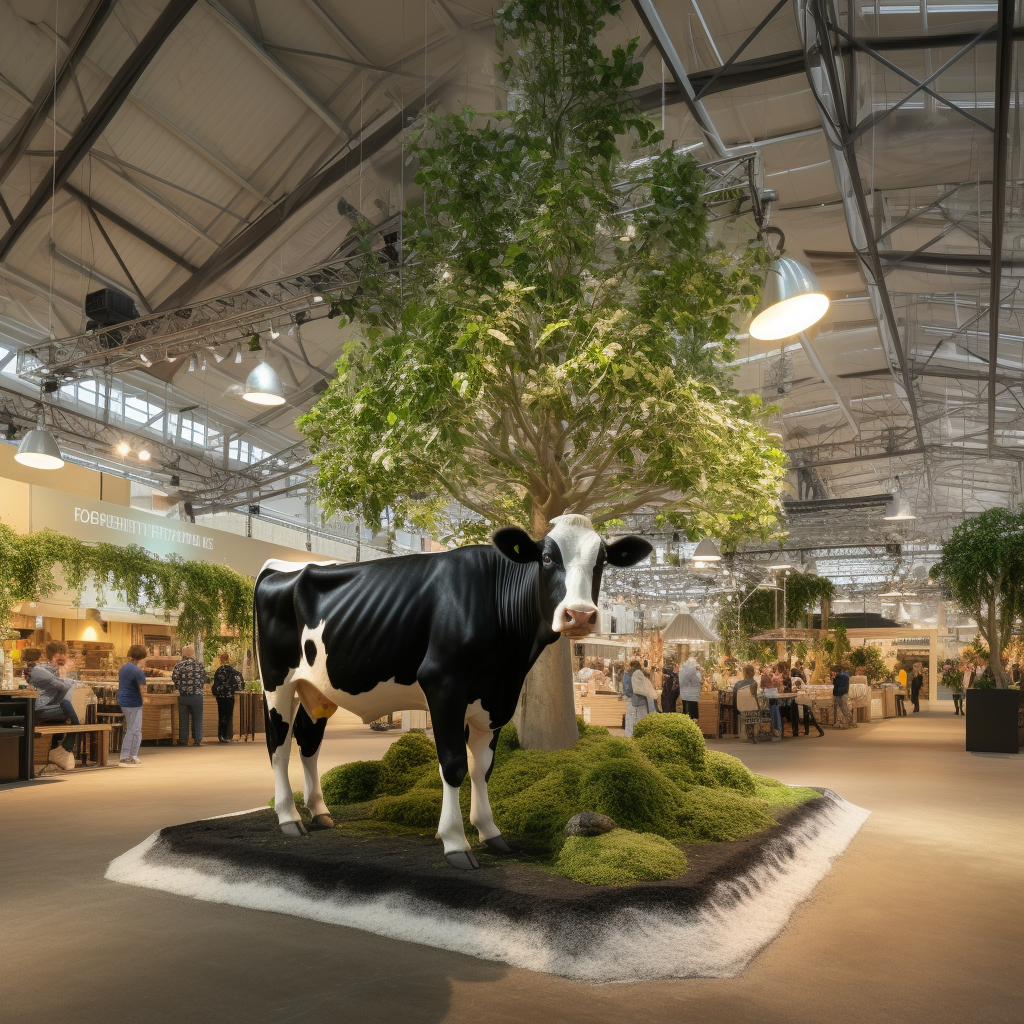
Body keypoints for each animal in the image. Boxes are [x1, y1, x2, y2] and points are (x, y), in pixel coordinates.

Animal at [256, 516, 655, 868]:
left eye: (602, 560)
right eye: (545, 557)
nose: (580, 614)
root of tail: (281, 567)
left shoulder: (494, 701)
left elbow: (483, 769)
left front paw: (490, 833)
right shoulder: (444, 685)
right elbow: (453, 765)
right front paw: (455, 842)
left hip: (316, 689)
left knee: (308, 742)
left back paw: (320, 813)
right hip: (277, 683)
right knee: (279, 746)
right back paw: (289, 818)